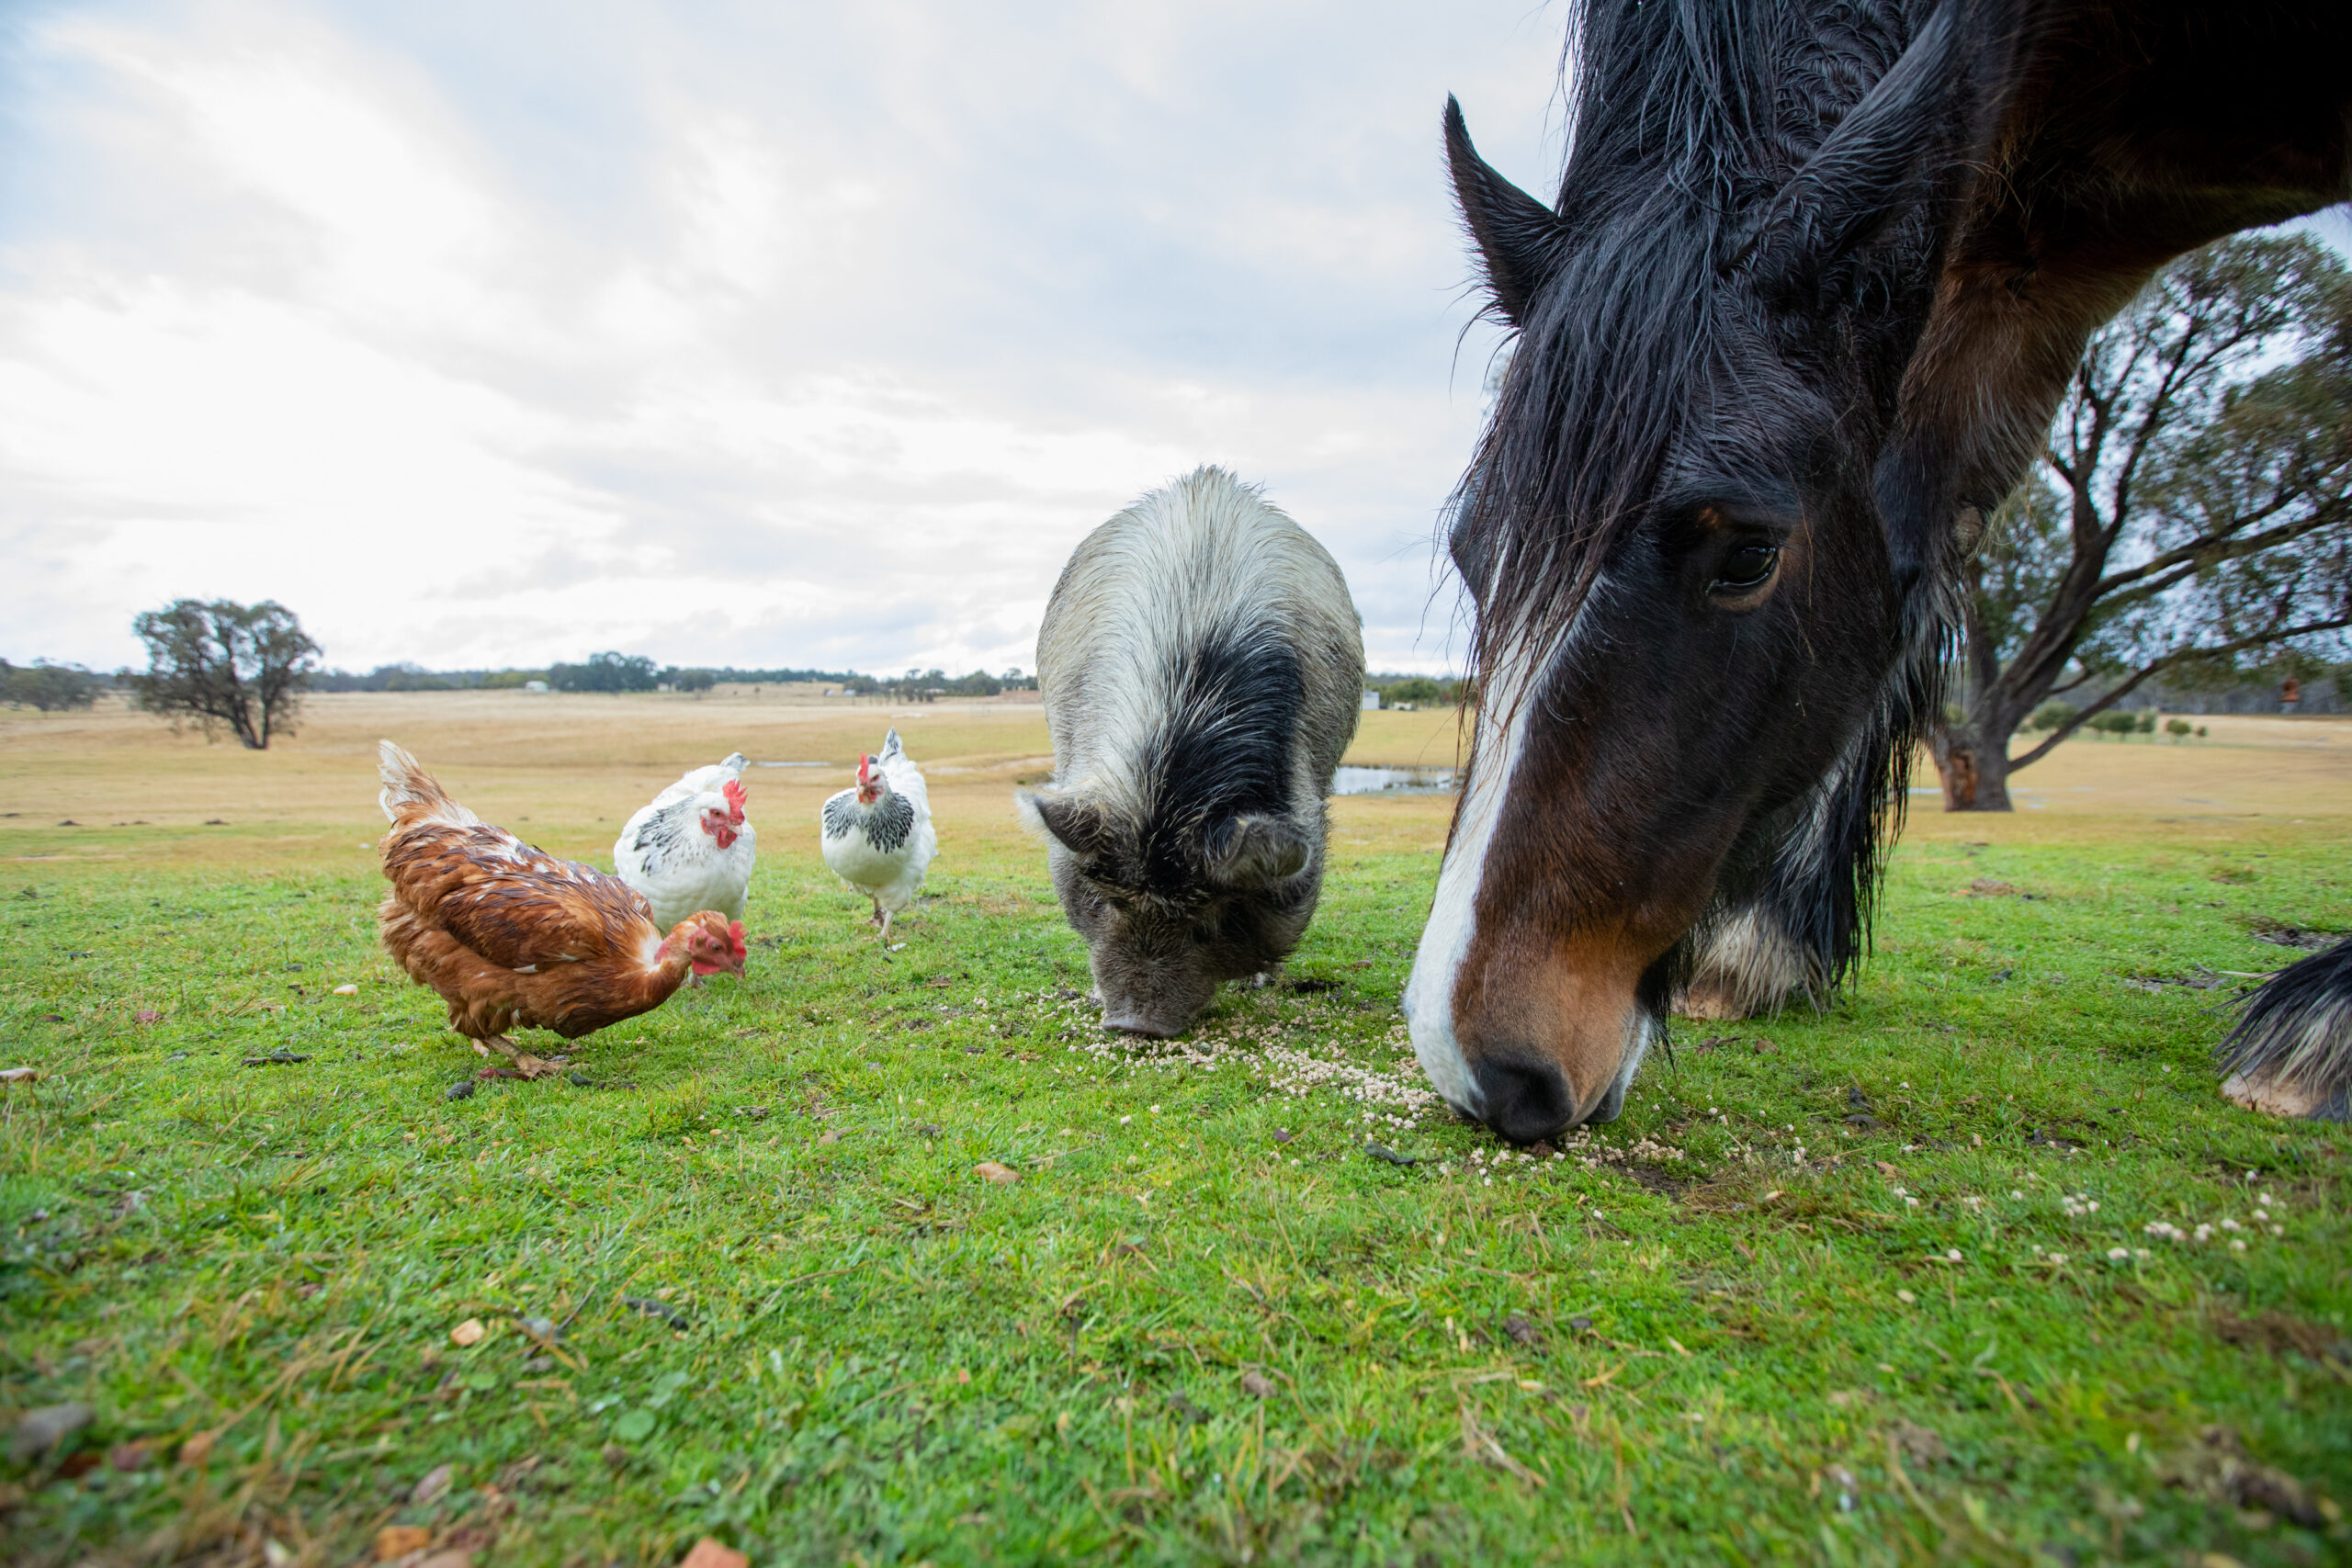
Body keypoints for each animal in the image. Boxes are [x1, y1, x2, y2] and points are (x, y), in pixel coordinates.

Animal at [1411, 0, 2352, 1142]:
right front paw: (1768, 949)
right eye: (1472, 554)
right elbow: (1913, 534)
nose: (1487, 1071)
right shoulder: (2009, 266)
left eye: (1749, 554)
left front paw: (2330, 1024)